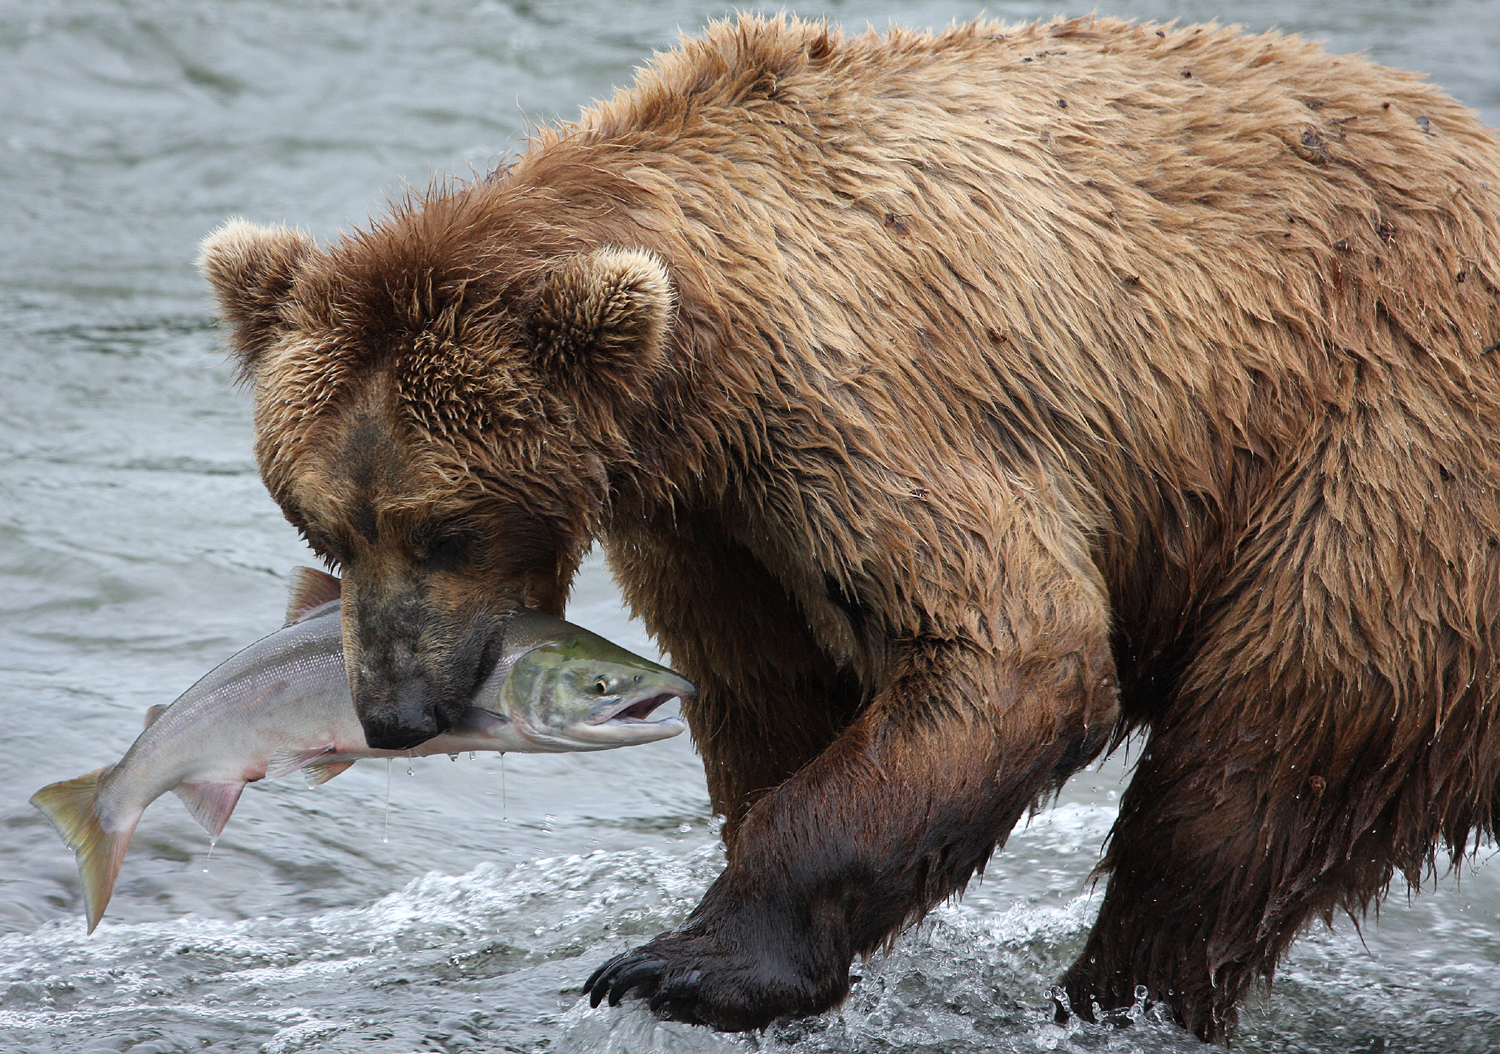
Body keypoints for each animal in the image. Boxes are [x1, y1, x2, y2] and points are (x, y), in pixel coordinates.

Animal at [198, 14, 1500, 1043]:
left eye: (447, 528)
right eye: (322, 528)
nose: (395, 712)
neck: (699, 374)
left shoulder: (867, 406)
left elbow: (1011, 650)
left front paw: (679, 965)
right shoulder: (716, 522)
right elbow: (770, 697)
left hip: (1386, 475)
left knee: (1250, 769)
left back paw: (1117, 995)